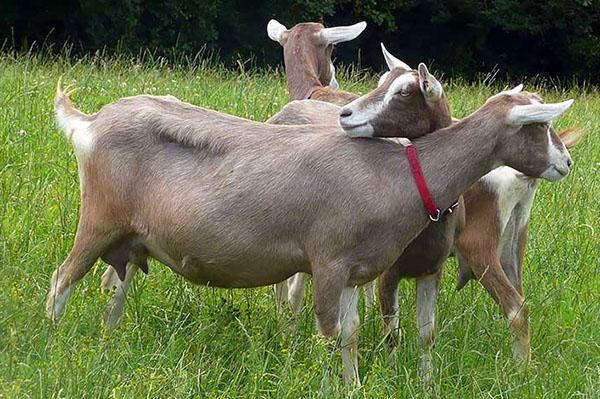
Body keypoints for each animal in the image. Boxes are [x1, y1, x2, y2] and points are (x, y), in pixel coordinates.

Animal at [45, 75, 572, 384]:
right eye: (538, 125)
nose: (566, 163)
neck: (402, 172)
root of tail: (90, 122)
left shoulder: (357, 271)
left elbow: (352, 335)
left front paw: (355, 386)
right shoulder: (328, 261)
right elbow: (328, 336)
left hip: (130, 240)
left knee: (115, 292)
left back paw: (106, 344)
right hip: (98, 219)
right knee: (61, 279)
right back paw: (49, 341)